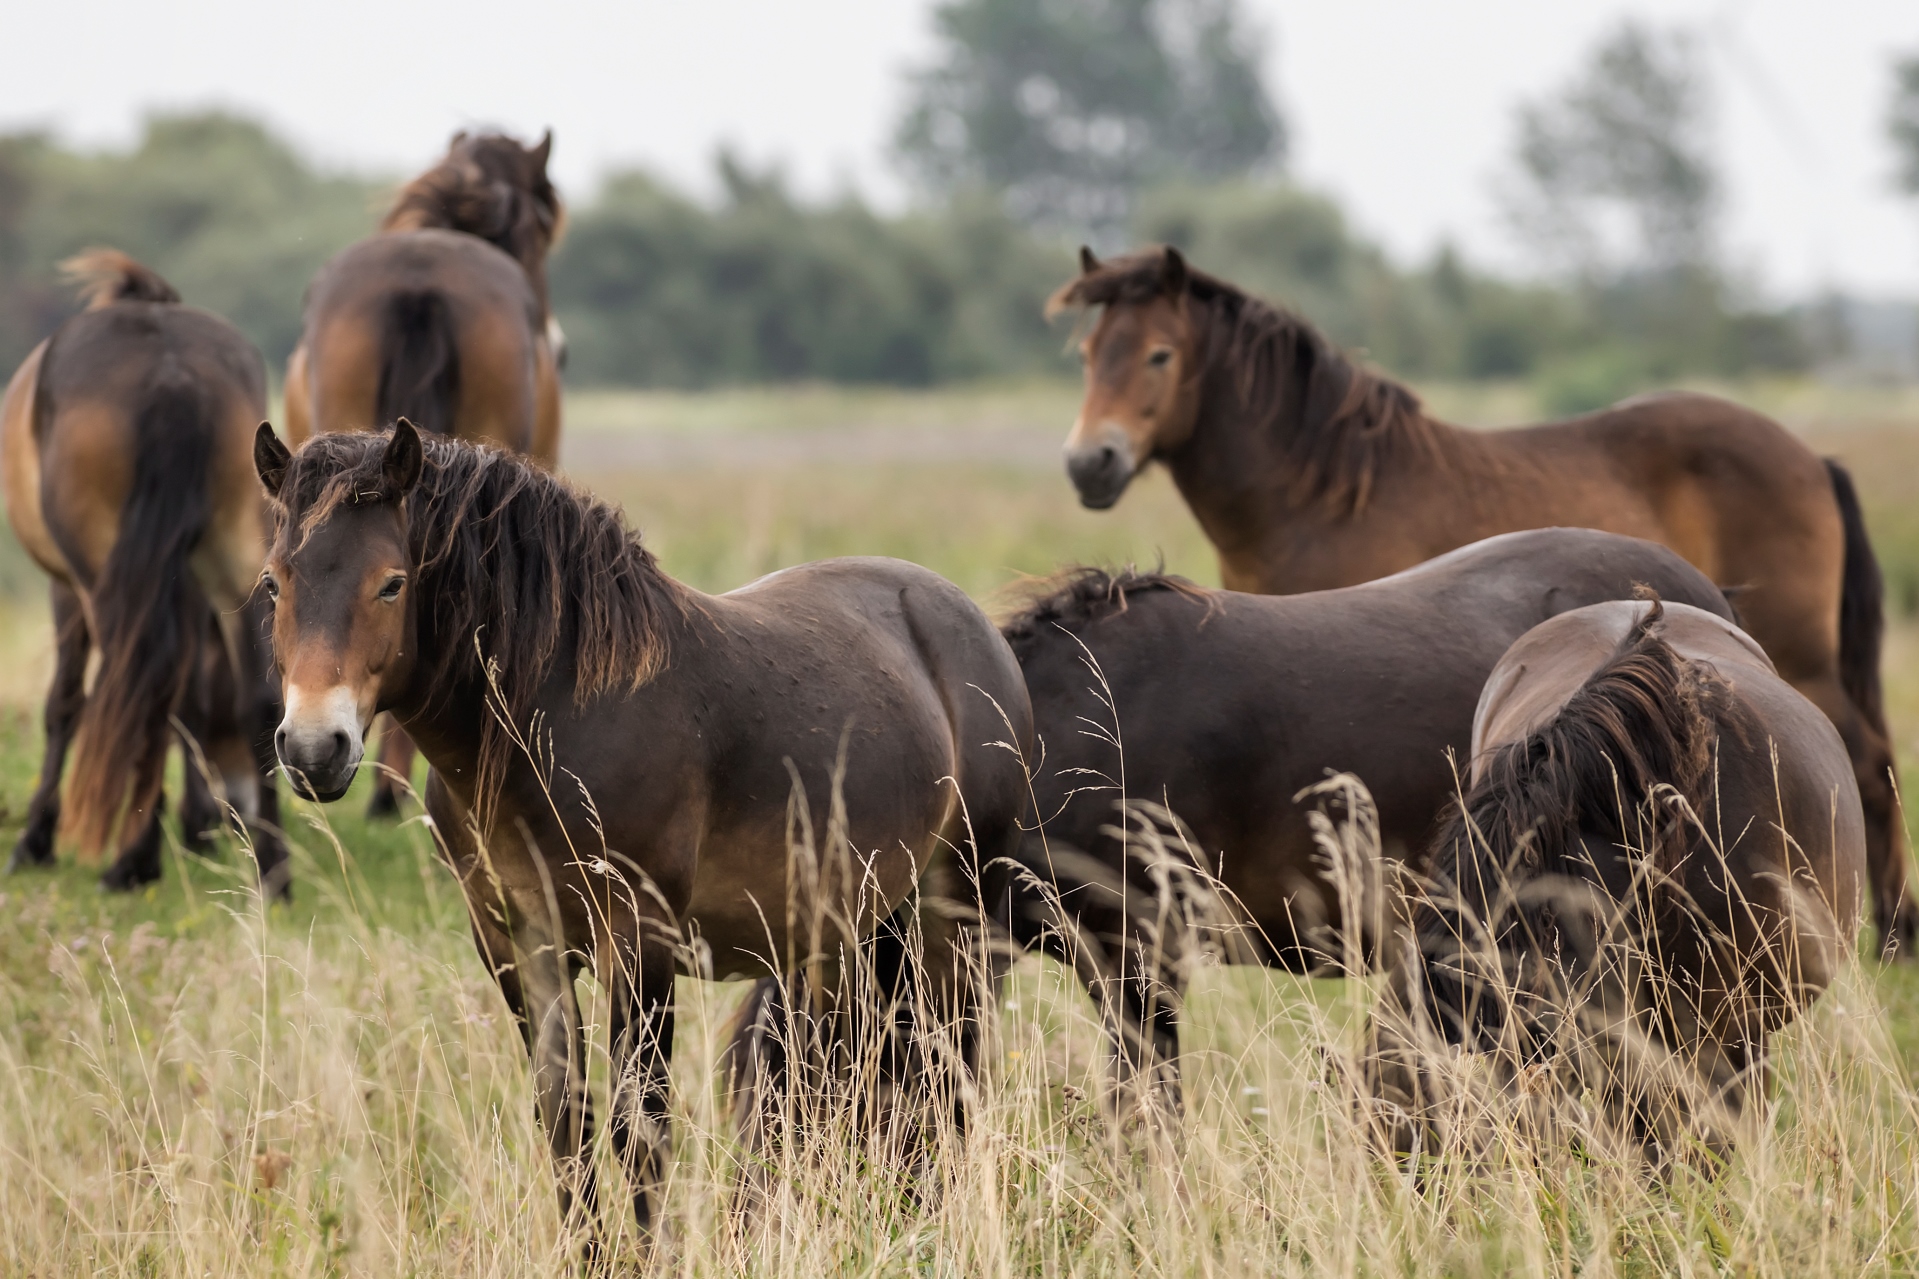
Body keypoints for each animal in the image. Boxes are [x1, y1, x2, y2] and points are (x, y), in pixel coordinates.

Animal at [0, 251, 289, 891]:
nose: (235, 805)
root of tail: (172, 377)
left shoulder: (67, 591)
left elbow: (65, 704)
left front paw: (36, 839)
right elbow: (193, 702)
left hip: (104, 583)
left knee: (135, 689)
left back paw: (133, 857)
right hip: (234, 560)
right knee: (255, 694)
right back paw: (273, 868)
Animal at [251, 419, 1032, 1243]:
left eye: (391, 583)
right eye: (274, 584)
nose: (314, 749)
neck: (559, 718)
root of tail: (970, 624)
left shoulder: (639, 941)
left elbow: (640, 1128)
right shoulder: (518, 945)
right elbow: (565, 1120)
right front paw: (589, 1252)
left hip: (954, 917)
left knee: (948, 1072)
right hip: (844, 932)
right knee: (842, 1074)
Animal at [1049, 246, 1910, 953]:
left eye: (1159, 354)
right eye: (1088, 355)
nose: (1090, 463)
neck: (1329, 493)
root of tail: (1810, 456)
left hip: (1805, 657)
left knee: (1871, 761)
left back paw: (1897, 932)